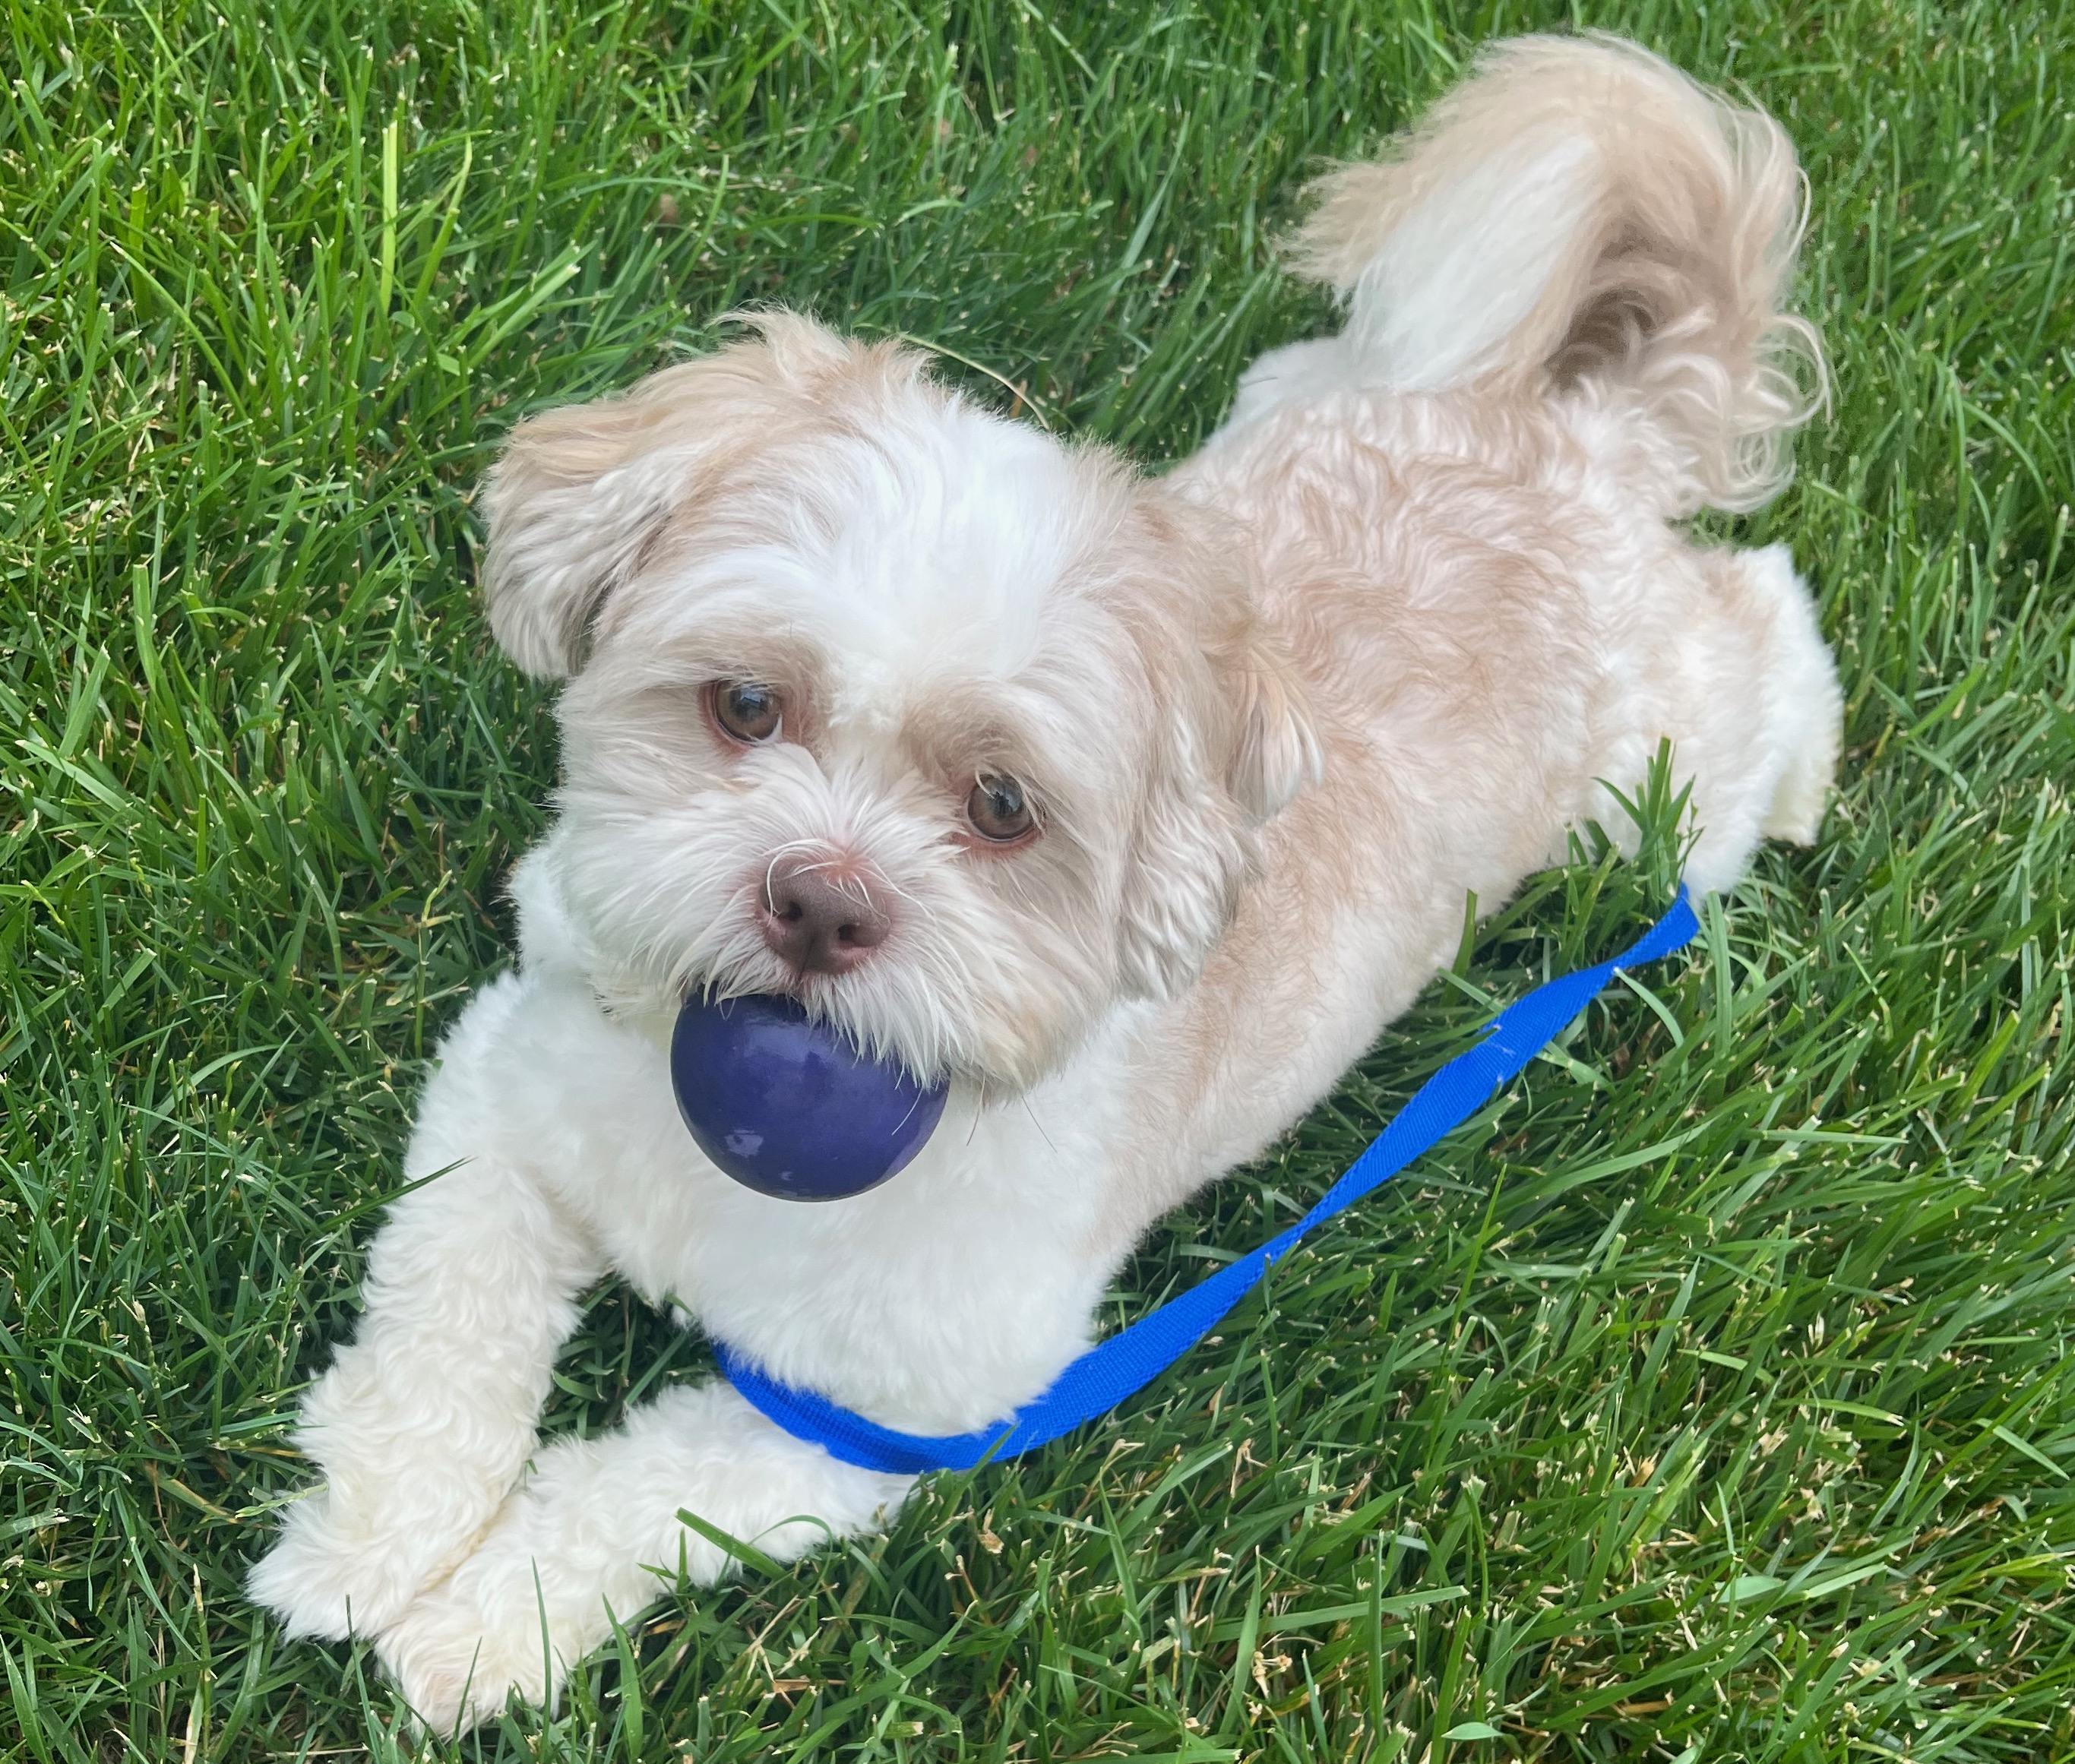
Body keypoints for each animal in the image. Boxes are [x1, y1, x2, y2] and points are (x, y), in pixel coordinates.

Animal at [251, 34, 1843, 1726]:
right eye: (745, 705)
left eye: (1002, 806)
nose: (820, 899)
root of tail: (1588, 435)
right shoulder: (508, 1091)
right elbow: (442, 1327)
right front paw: (365, 1541)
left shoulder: (892, 1408)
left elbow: (643, 1492)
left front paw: (482, 1625)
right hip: (1329, 374)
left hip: (1656, 785)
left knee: (1764, 625)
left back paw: (1803, 769)